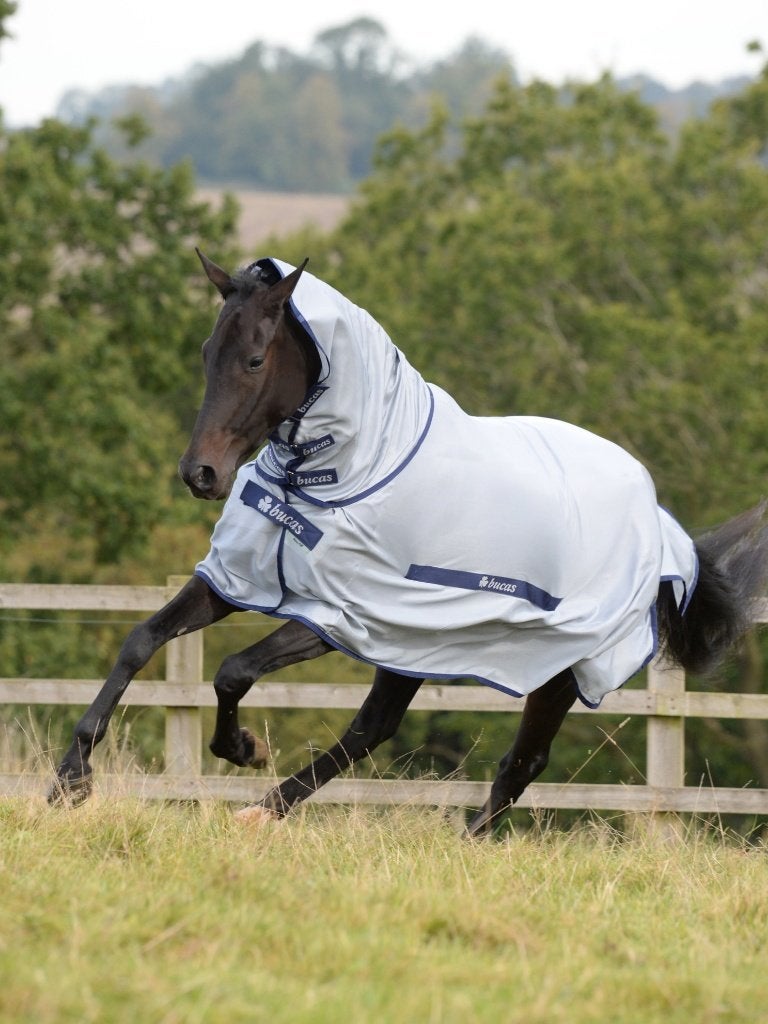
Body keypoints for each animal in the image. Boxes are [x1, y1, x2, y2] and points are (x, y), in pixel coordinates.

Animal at [49, 251, 768, 835]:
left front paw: (244, 748)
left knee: (520, 760)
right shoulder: (240, 581)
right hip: (420, 644)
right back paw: (267, 811)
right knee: (376, 728)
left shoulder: (339, 616)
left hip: (554, 666)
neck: (354, 467)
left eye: (253, 359)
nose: (199, 473)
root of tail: (657, 520)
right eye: (205, 352)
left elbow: (232, 671)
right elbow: (141, 639)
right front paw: (70, 779)